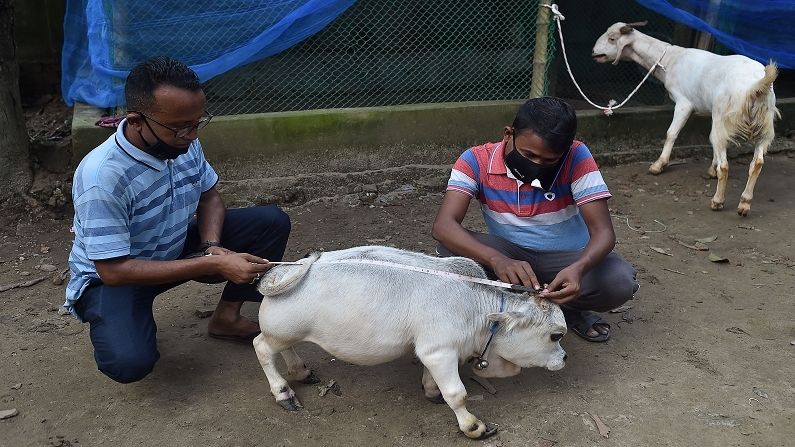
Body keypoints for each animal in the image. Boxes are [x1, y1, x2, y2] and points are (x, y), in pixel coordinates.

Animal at [253, 245, 567, 439]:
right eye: (555, 335)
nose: (564, 358)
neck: (476, 307)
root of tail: (283, 270)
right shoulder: (440, 351)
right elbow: (458, 394)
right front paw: (472, 426)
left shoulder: (433, 351)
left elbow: (432, 380)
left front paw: (431, 390)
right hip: (281, 331)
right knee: (261, 347)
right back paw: (283, 392)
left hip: (286, 333)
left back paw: (301, 371)